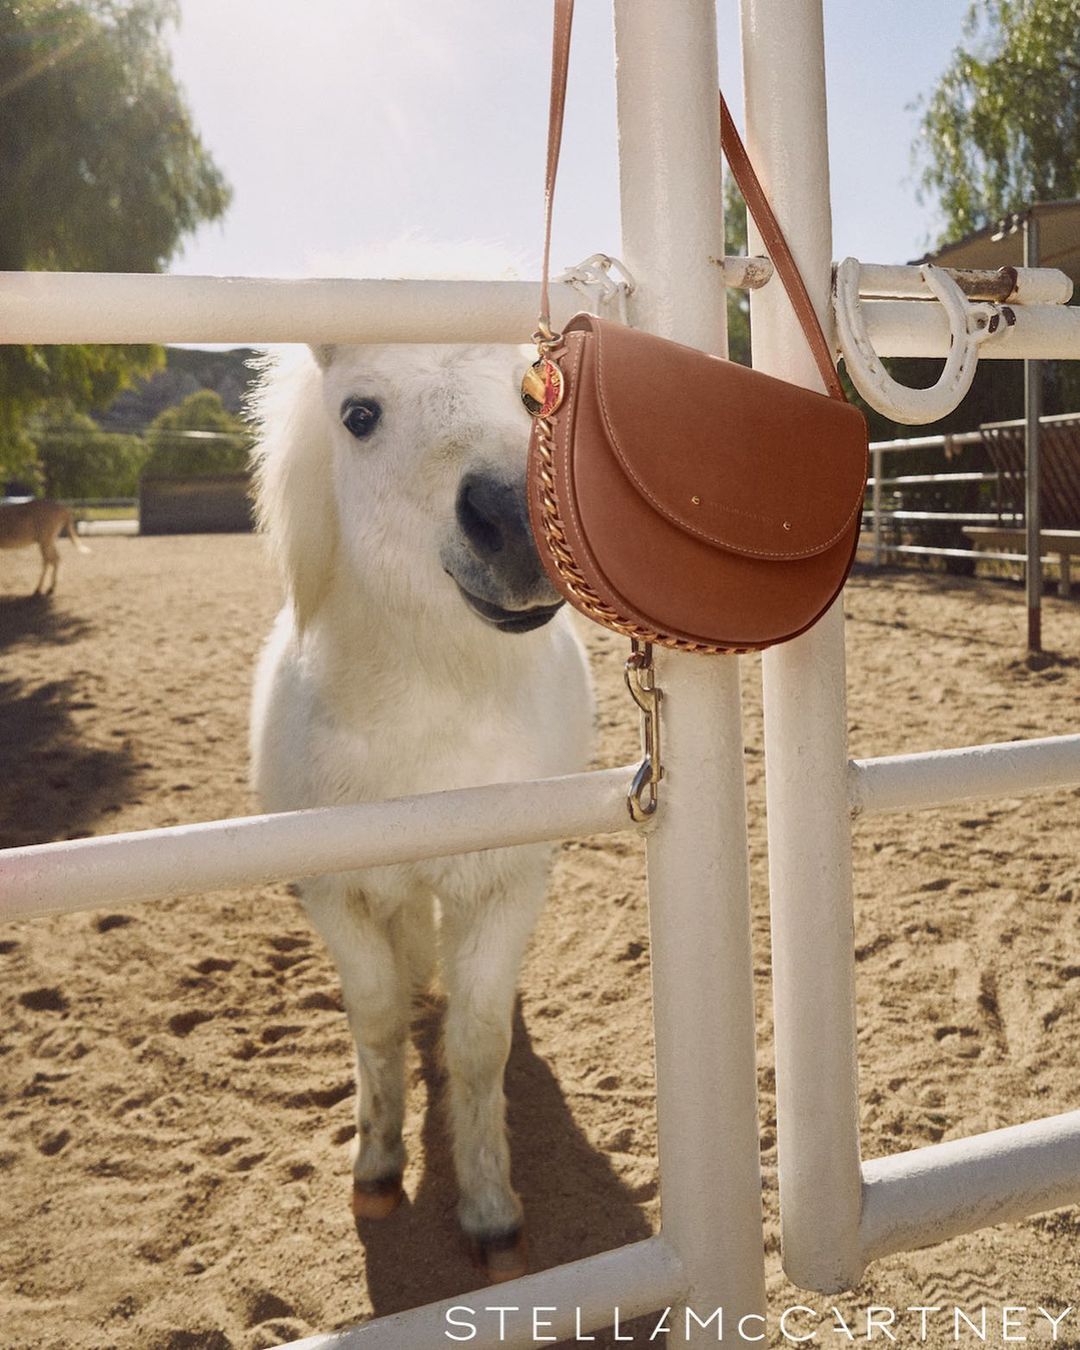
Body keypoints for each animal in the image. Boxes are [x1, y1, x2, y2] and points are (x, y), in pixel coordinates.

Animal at [248, 342, 593, 1283]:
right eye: (359, 415)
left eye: (531, 392)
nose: (516, 518)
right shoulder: (338, 894)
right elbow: (374, 1018)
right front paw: (376, 1169)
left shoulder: (505, 883)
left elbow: (477, 1044)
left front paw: (491, 1215)